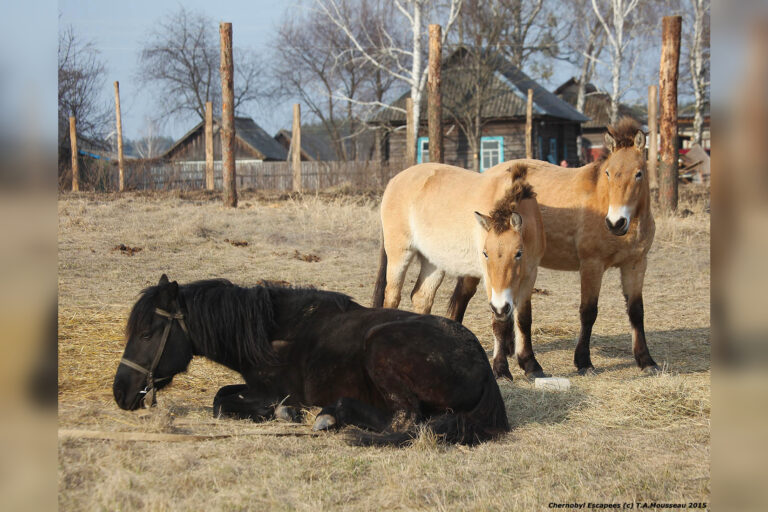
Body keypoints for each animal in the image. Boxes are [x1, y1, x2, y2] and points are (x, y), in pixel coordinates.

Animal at [112, 274, 510, 446]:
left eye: (146, 334)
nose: (120, 392)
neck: (270, 331)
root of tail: (481, 362)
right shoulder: (253, 384)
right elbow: (222, 394)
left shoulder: (274, 390)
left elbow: (221, 403)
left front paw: (283, 413)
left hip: (380, 347)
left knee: (405, 420)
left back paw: (330, 416)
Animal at [372, 162, 544, 378]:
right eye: (485, 253)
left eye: (518, 253)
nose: (501, 306)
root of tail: (394, 180)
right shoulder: (490, 281)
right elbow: (499, 321)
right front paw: (501, 368)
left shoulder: (529, 275)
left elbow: (523, 318)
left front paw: (531, 365)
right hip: (399, 254)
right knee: (392, 297)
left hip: (433, 263)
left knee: (421, 298)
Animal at [450, 120, 660, 376]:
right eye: (608, 173)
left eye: (639, 173)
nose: (615, 222)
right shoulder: (592, 265)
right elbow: (588, 312)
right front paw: (583, 362)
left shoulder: (636, 264)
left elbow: (636, 311)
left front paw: (646, 360)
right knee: (462, 299)